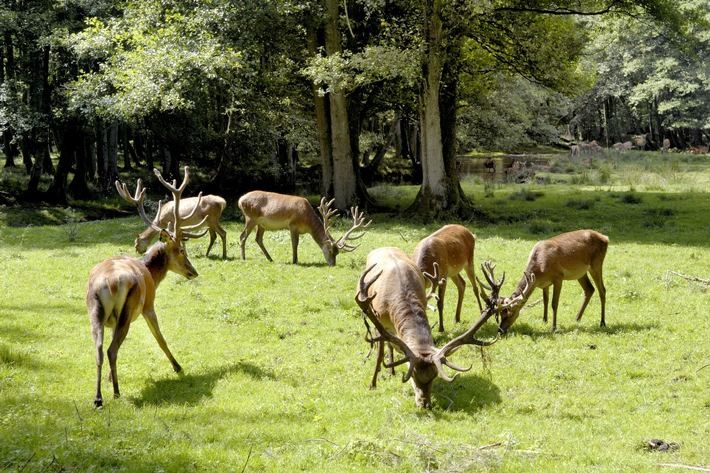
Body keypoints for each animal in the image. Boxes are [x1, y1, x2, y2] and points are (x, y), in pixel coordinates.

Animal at [87, 166, 209, 406]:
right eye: (182, 250)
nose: (194, 272)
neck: (151, 273)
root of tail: (107, 283)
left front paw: (109, 377)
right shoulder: (149, 304)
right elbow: (160, 338)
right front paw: (178, 367)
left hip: (94, 310)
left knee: (99, 349)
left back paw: (98, 397)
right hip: (128, 308)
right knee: (112, 349)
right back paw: (116, 393)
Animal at [239, 191, 372, 266]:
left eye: (337, 253)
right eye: (330, 251)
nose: (333, 264)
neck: (308, 223)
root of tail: (240, 200)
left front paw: (295, 260)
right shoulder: (292, 225)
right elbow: (294, 244)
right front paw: (295, 261)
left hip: (261, 223)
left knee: (258, 238)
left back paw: (270, 258)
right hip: (251, 217)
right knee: (242, 236)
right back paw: (243, 258)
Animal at [354, 247, 500, 406]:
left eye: (435, 375)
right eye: (412, 375)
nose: (424, 403)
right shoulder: (378, 318)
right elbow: (379, 353)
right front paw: (372, 384)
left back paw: (391, 370)